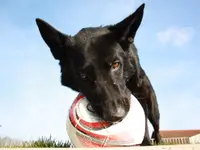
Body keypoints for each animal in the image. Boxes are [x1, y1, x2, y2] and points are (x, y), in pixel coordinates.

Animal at [35, 3, 161, 145]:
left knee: (156, 124)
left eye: (116, 64)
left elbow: (143, 120)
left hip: (152, 105)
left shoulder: (140, 94)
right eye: (84, 76)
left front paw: (145, 142)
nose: (116, 116)